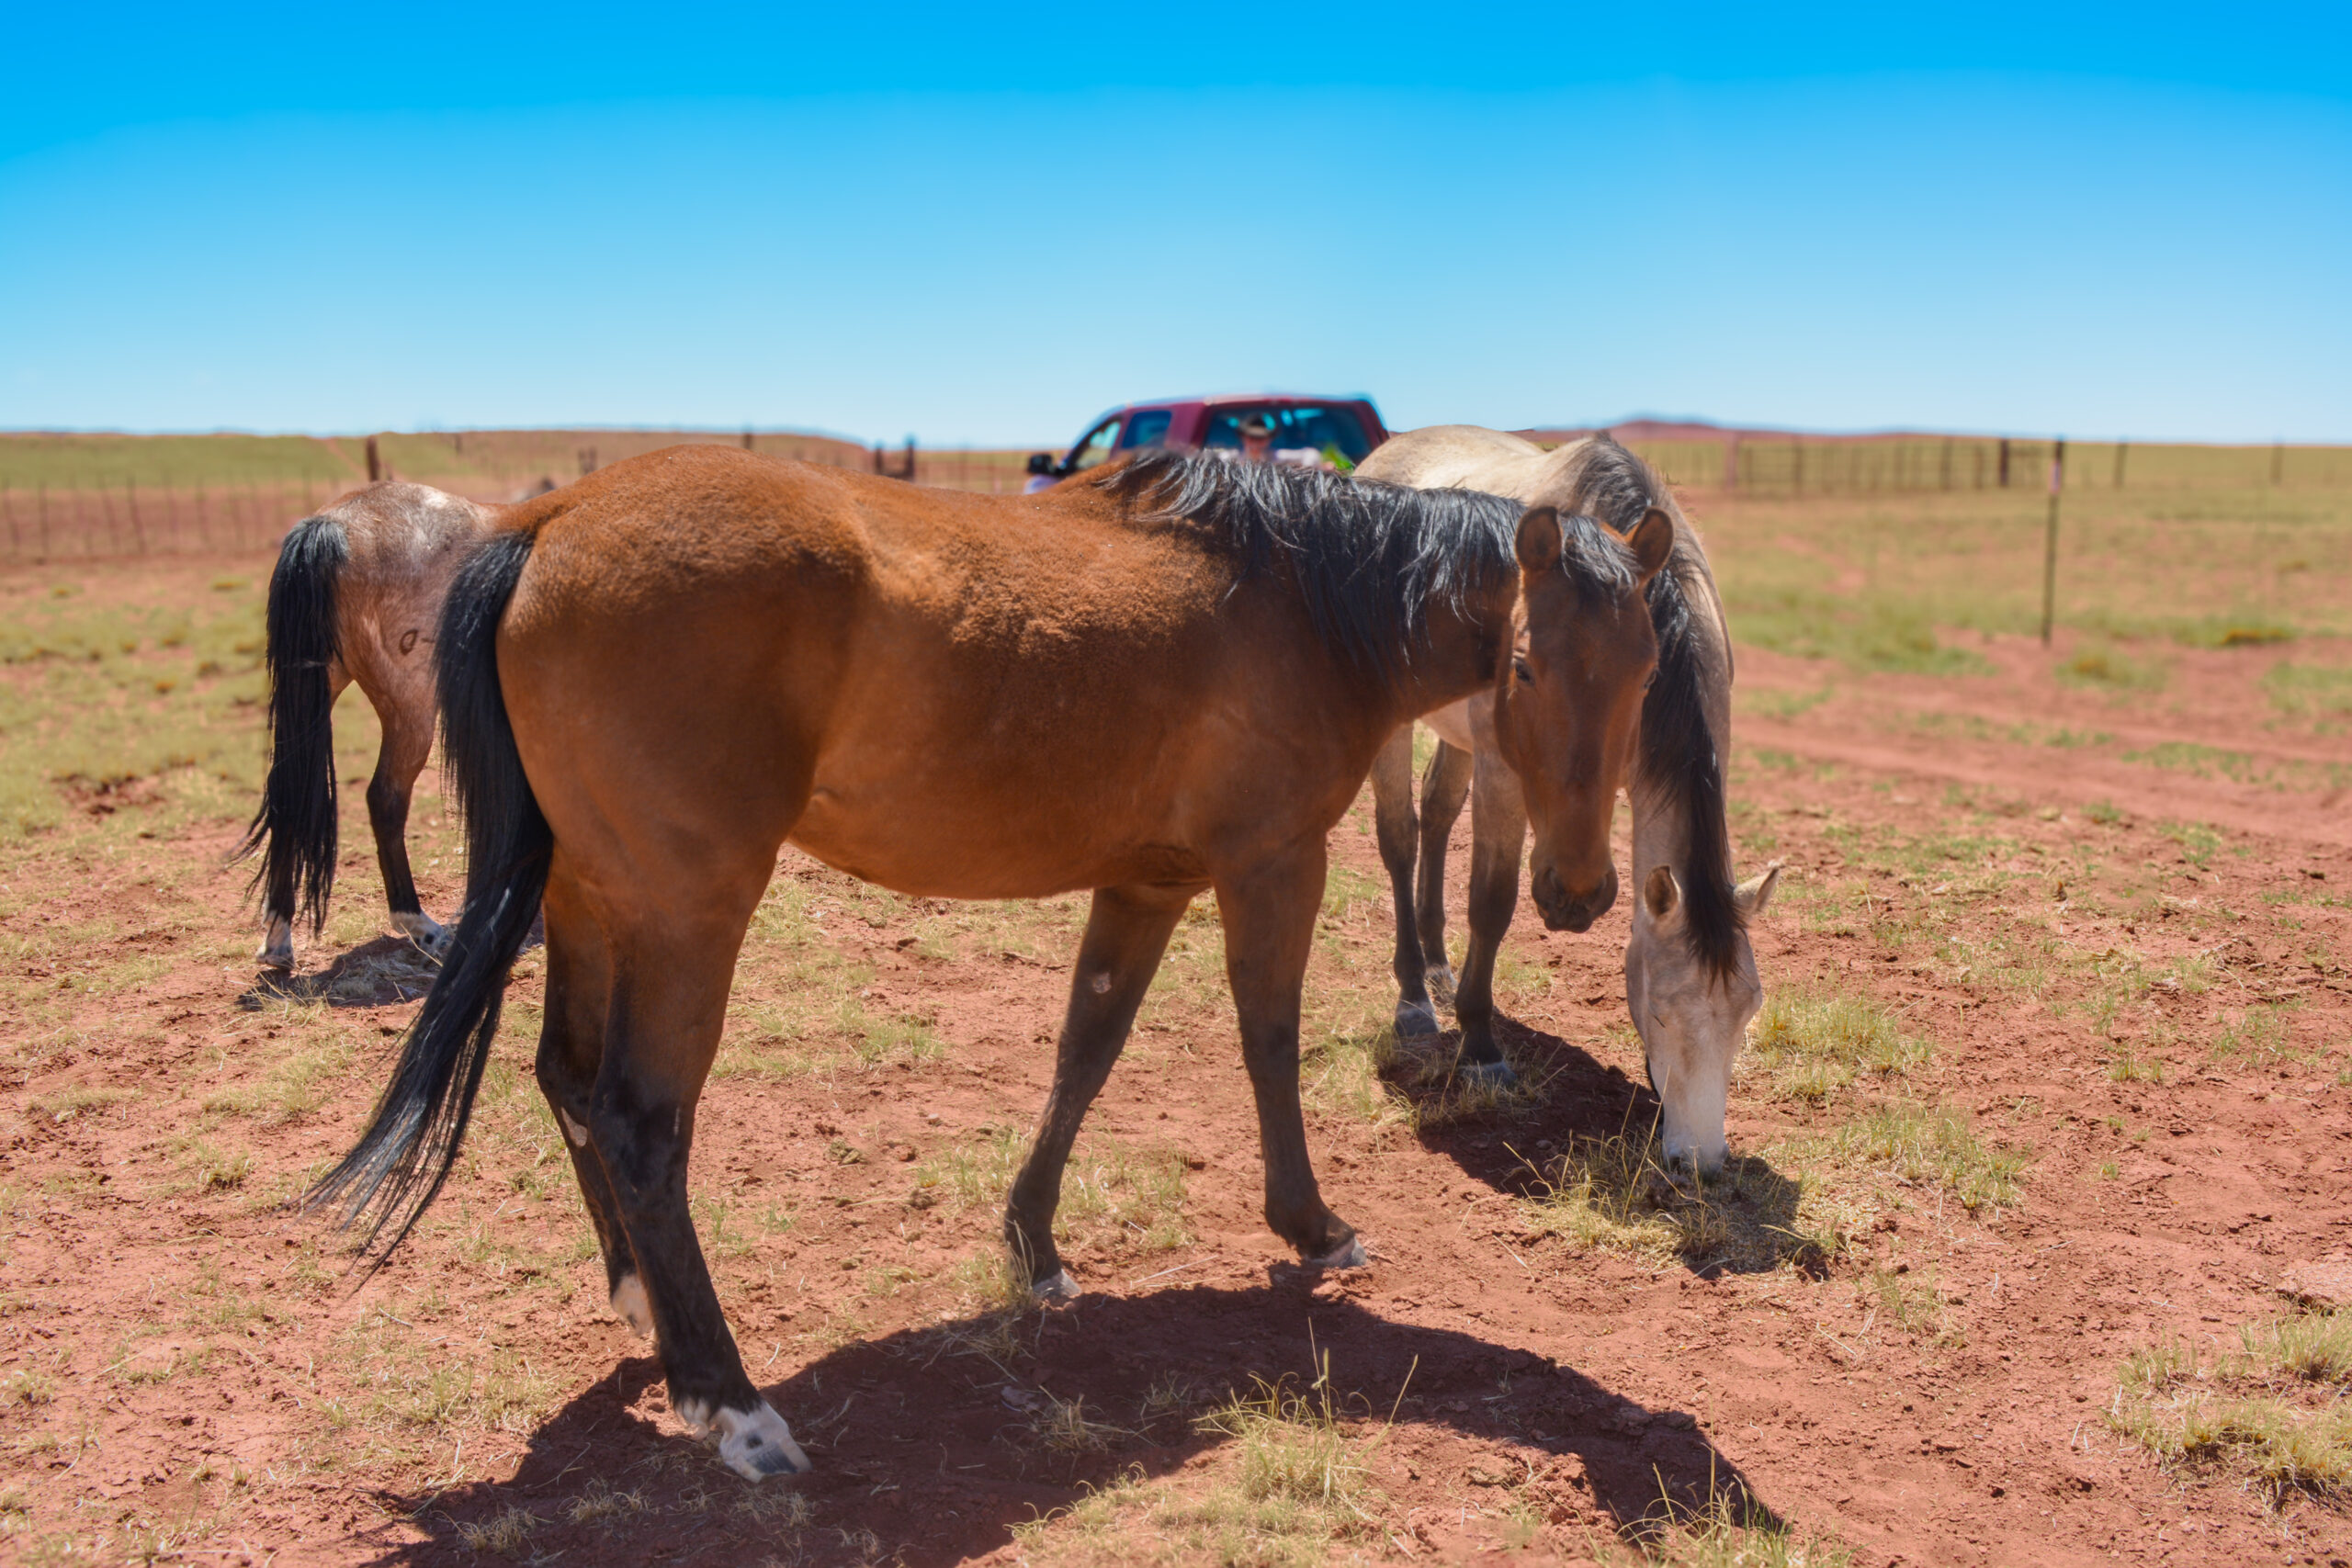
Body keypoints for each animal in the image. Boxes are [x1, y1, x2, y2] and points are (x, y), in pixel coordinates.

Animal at [239, 483, 504, 970]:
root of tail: (330, 525)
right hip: (411, 711)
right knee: (385, 798)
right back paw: (420, 926)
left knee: (288, 793)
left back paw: (277, 938)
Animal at [308, 443, 1674, 1482]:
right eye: (1526, 664)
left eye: (1648, 669)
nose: (1578, 893)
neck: (1303, 596)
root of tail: (547, 524)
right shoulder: (1272, 865)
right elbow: (1269, 1042)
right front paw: (1310, 1223)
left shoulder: (1146, 880)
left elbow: (1088, 1044)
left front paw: (1034, 1241)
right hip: (686, 914)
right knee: (641, 1124)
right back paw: (729, 1402)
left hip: (589, 897)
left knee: (567, 1081)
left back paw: (640, 1306)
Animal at [1353, 428, 1780, 1173]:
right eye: (1660, 1011)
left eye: (1746, 1011)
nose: (1699, 1160)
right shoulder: (1504, 775)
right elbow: (1491, 904)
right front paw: (1482, 1050)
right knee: (1400, 834)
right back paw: (1414, 997)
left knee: (1436, 813)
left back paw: (1436, 964)